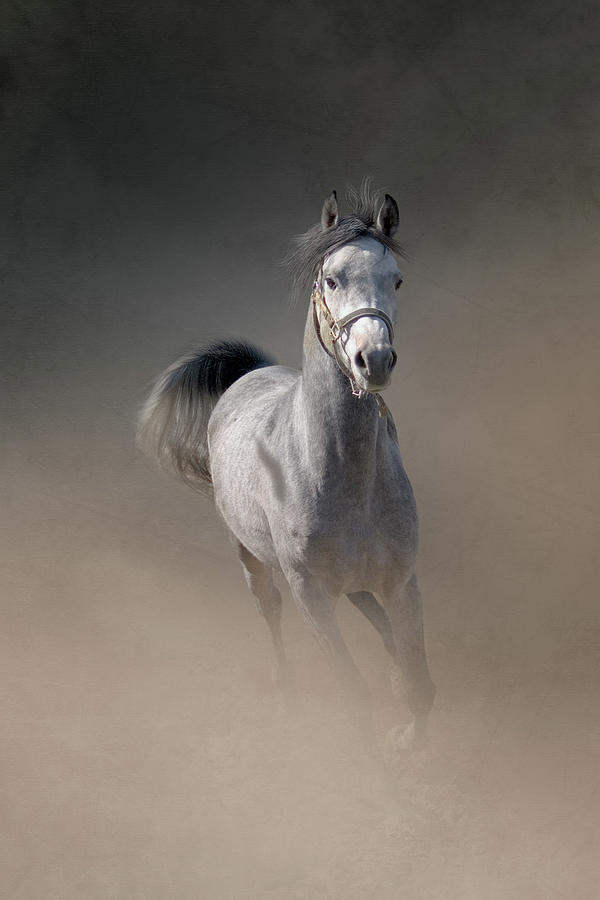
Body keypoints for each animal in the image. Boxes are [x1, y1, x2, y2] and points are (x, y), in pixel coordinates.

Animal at [138, 187, 435, 751]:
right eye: (331, 279)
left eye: (397, 280)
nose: (374, 360)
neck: (344, 475)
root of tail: (249, 373)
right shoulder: (311, 597)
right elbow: (353, 689)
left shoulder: (401, 582)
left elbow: (415, 678)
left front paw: (409, 733)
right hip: (252, 559)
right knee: (268, 608)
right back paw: (285, 691)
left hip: (359, 584)